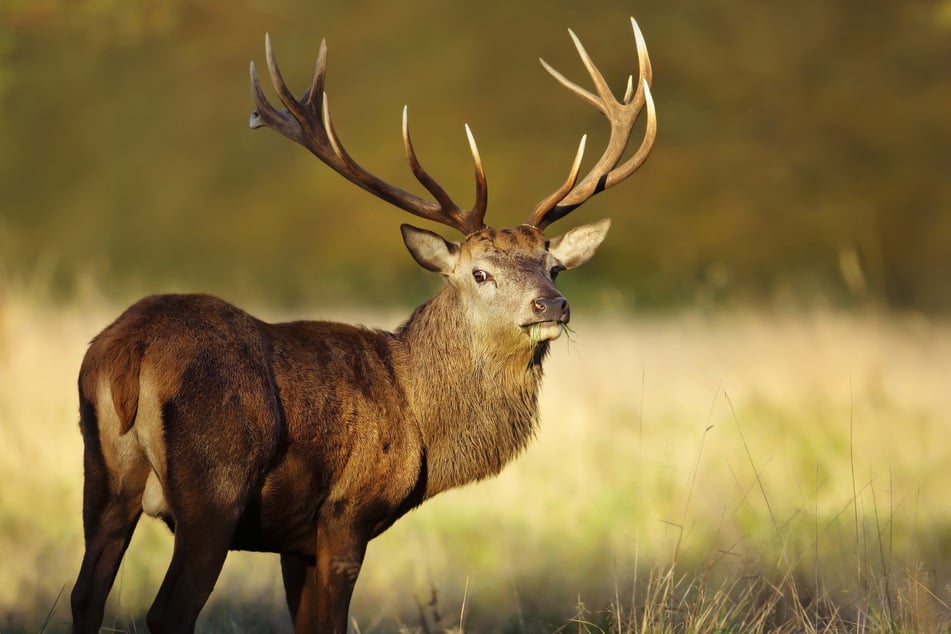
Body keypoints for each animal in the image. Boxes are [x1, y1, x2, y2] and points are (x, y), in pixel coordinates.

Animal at [70, 16, 660, 632]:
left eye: (554, 266)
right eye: (480, 273)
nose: (552, 305)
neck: (417, 415)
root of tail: (131, 348)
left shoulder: (295, 541)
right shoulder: (345, 512)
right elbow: (328, 622)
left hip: (101, 476)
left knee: (86, 593)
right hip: (215, 488)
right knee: (166, 610)